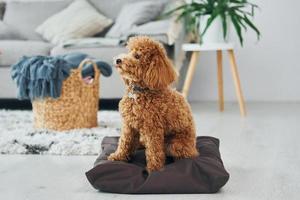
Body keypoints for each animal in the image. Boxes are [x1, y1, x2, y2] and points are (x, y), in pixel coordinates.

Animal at [108, 35, 199, 172]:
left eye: (137, 56)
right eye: (129, 51)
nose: (118, 60)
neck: (138, 92)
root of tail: (194, 147)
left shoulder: (152, 128)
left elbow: (154, 150)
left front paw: (153, 169)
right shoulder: (128, 125)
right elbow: (124, 142)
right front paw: (118, 156)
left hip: (176, 144)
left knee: (183, 155)